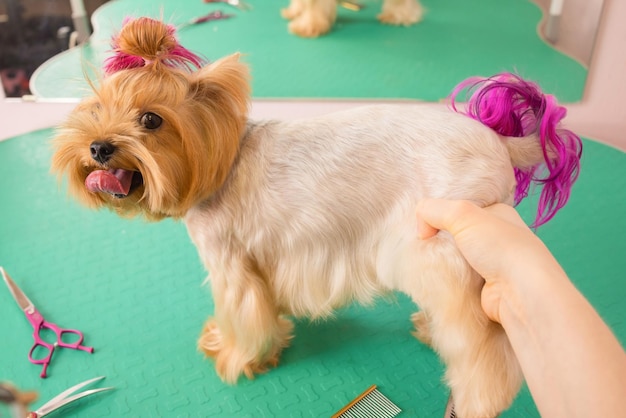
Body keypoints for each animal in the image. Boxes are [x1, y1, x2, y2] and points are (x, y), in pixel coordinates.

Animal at [51, 17, 584, 418]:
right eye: (96, 108)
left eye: (151, 119)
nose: (98, 147)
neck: (219, 165)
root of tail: (500, 141)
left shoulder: (231, 266)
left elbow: (243, 317)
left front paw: (234, 356)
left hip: (443, 249)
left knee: (486, 345)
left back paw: (478, 399)